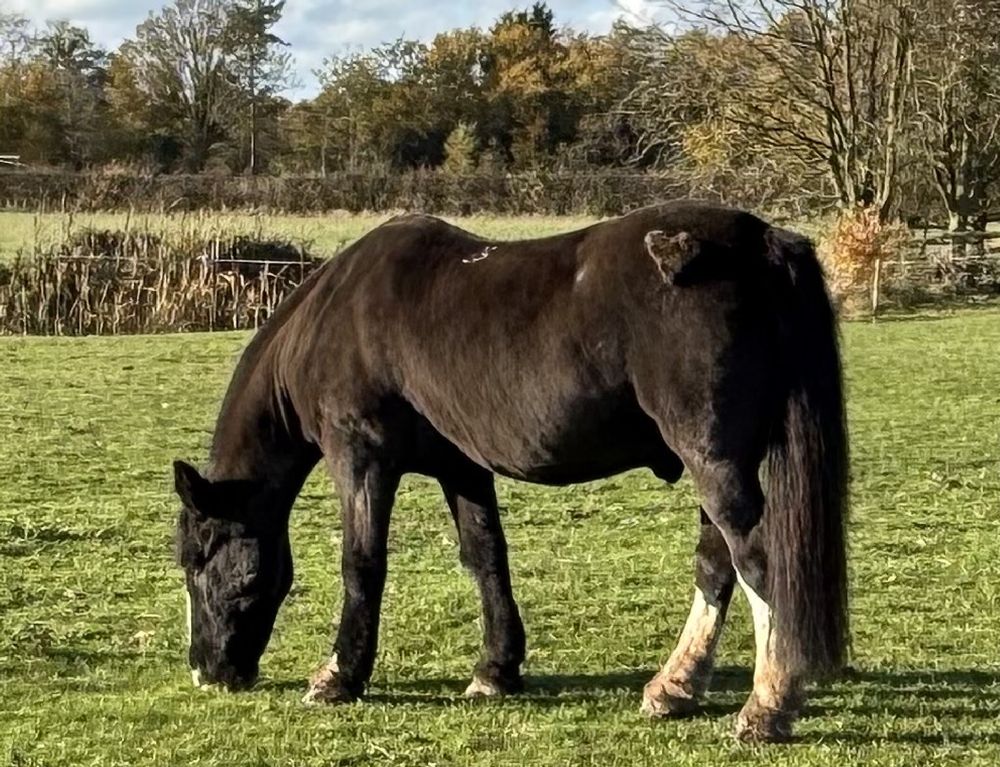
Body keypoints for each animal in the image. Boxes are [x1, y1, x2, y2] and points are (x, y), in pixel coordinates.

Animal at [173, 200, 848, 742]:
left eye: (198, 562)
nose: (207, 669)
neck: (336, 315)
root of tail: (760, 243)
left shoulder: (360, 459)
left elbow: (362, 564)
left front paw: (338, 676)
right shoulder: (462, 466)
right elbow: (485, 556)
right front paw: (495, 670)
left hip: (713, 461)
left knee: (756, 562)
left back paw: (767, 706)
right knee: (716, 565)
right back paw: (674, 687)